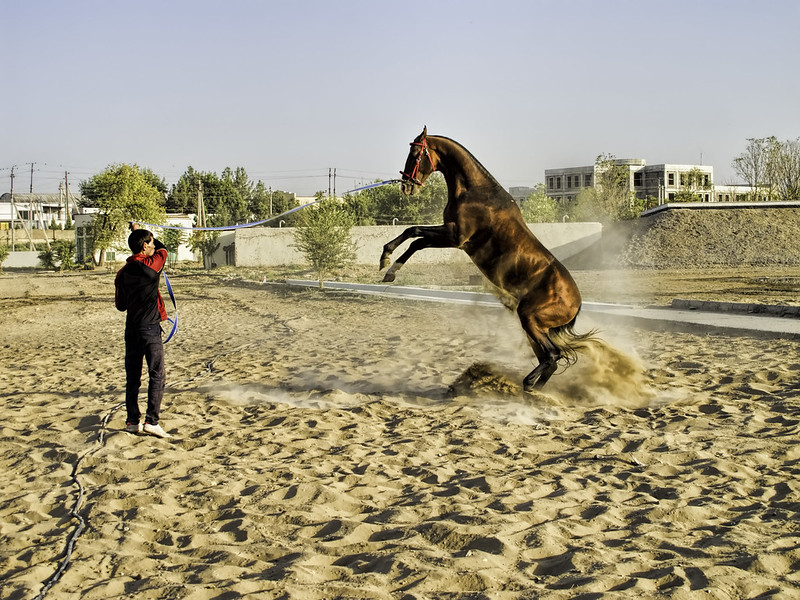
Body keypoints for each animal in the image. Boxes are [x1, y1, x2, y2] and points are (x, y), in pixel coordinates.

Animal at [380, 126, 596, 391]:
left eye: (415, 154)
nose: (406, 187)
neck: (475, 193)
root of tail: (576, 304)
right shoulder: (454, 237)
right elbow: (415, 236)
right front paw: (387, 263)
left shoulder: (456, 236)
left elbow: (415, 235)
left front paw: (388, 264)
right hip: (534, 326)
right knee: (550, 359)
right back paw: (534, 389)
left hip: (529, 317)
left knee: (552, 355)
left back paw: (528, 384)